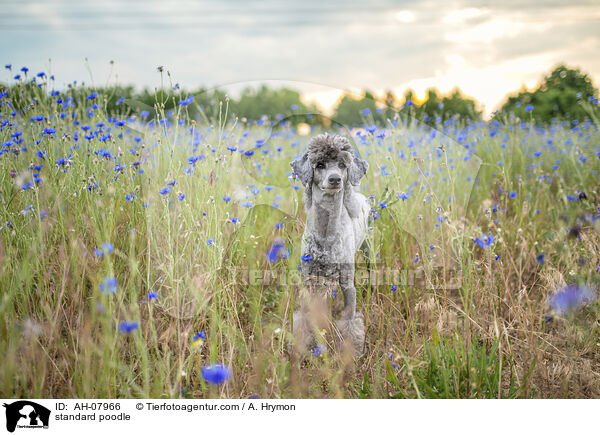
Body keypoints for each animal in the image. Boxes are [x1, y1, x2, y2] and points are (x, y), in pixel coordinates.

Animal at [290, 134, 370, 358]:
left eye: (342, 164)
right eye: (319, 165)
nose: (335, 179)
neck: (326, 232)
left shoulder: (347, 284)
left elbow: (350, 322)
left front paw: (352, 352)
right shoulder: (308, 279)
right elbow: (304, 318)